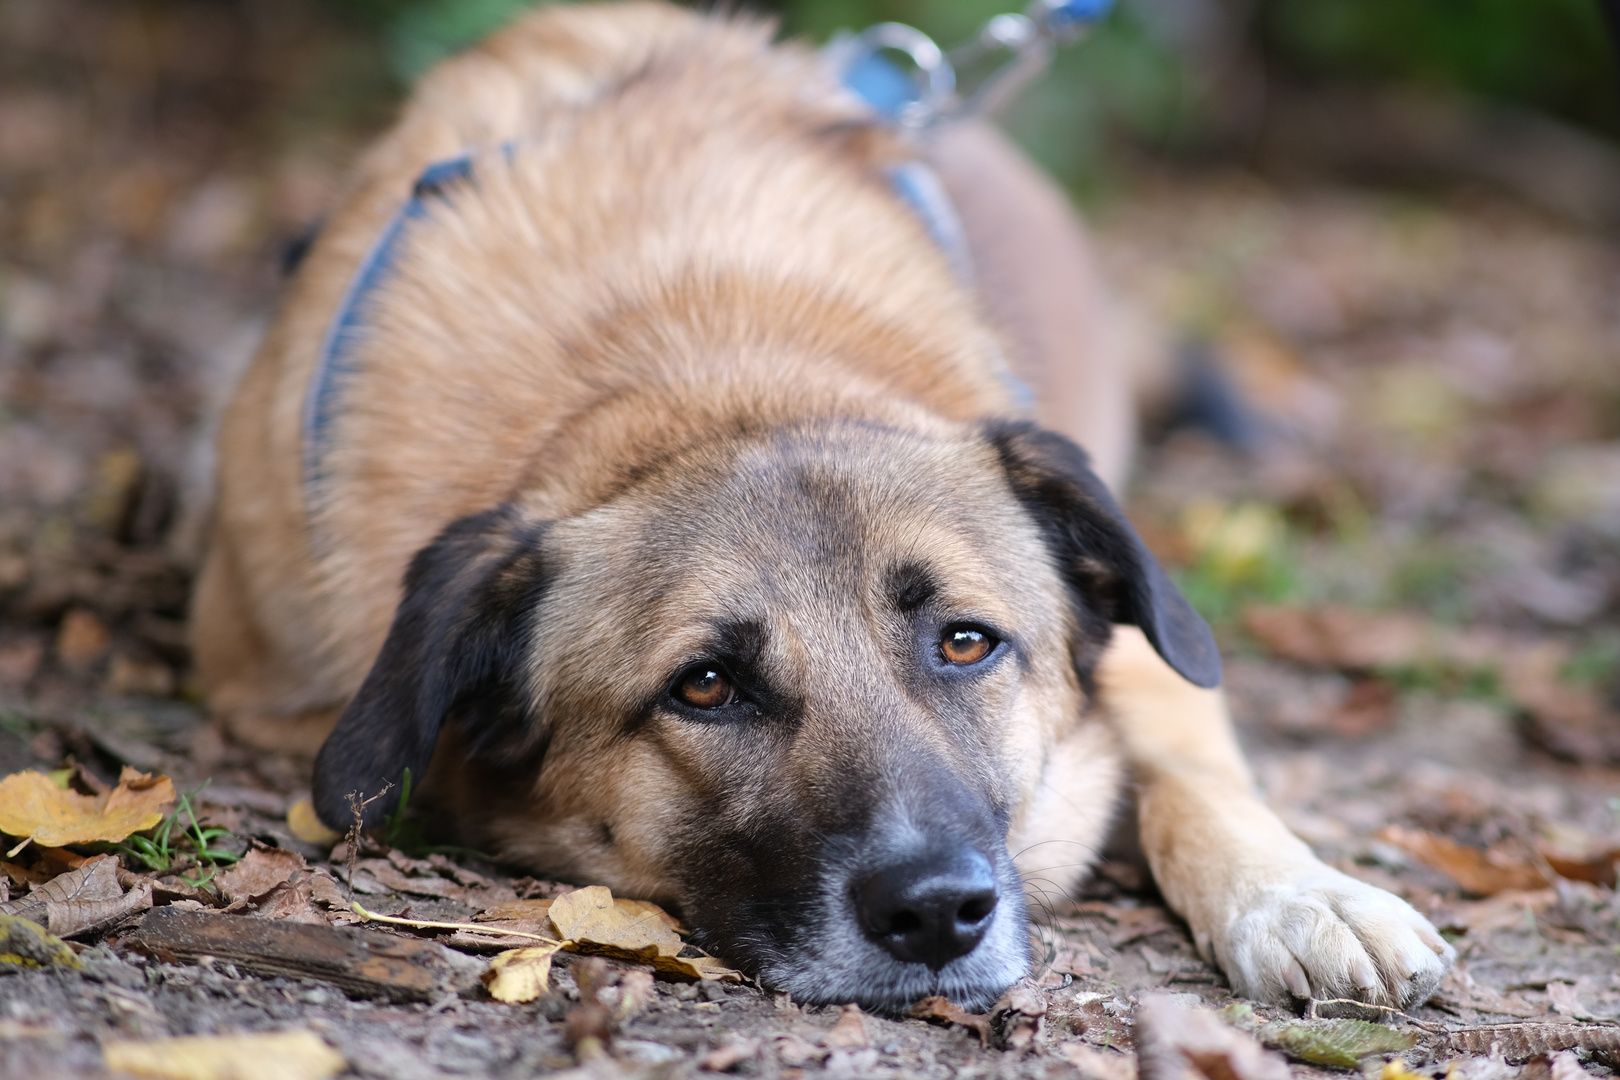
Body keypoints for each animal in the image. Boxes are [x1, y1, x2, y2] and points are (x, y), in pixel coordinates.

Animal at [192, 0, 1458, 1016]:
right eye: (705, 686)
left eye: (966, 642)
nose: (938, 914)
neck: (706, 375)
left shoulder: (1146, 661)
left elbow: (1195, 771)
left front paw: (1301, 892)